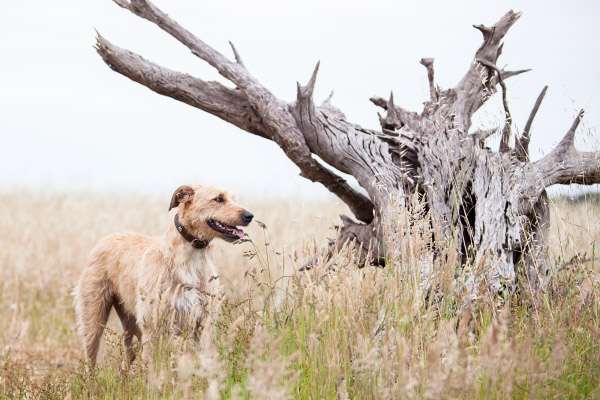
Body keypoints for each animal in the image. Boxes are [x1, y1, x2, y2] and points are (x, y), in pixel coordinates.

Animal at [72, 183, 253, 368]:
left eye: (233, 199)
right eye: (218, 198)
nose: (249, 216)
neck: (190, 259)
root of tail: (107, 238)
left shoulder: (204, 322)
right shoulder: (153, 325)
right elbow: (153, 364)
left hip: (131, 321)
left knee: (127, 357)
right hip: (94, 317)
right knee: (91, 355)